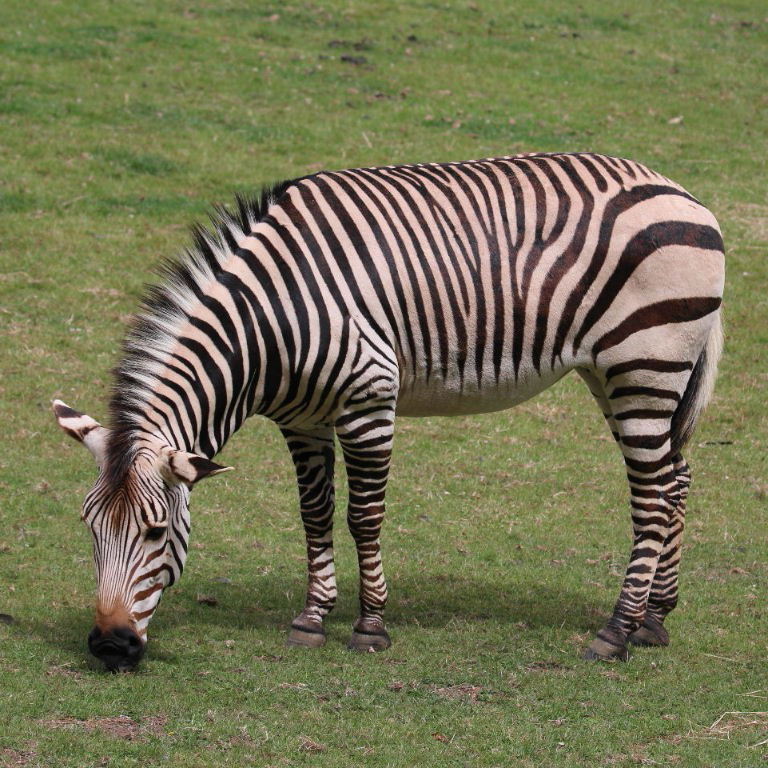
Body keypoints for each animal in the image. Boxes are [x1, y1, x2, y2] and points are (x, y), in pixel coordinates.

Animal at [54, 152, 724, 671]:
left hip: (644, 365)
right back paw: (655, 618)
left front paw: (370, 626)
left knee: (651, 493)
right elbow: (314, 514)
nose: (110, 646)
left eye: (155, 531)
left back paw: (616, 632)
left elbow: (363, 517)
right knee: (676, 478)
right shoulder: (302, 419)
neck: (270, 323)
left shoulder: (368, 399)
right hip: (614, 373)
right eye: (89, 527)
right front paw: (312, 618)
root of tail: (682, 192)